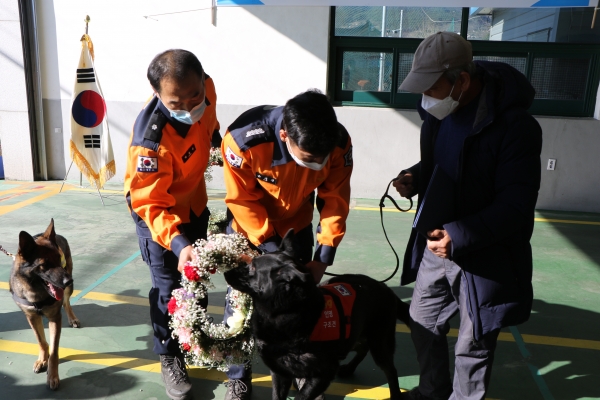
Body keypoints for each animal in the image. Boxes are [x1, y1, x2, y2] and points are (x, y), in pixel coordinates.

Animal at [225, 228, 412, 400]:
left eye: (253, 267)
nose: (226, 271)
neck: (284, 313)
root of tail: (385, 288)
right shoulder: (280, 372)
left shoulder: (322, 374)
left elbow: (301, 397)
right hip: (354, 334)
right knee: (362, 348)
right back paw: (349, 368)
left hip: (380, 343)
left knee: (390, 370)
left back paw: (395, 394)